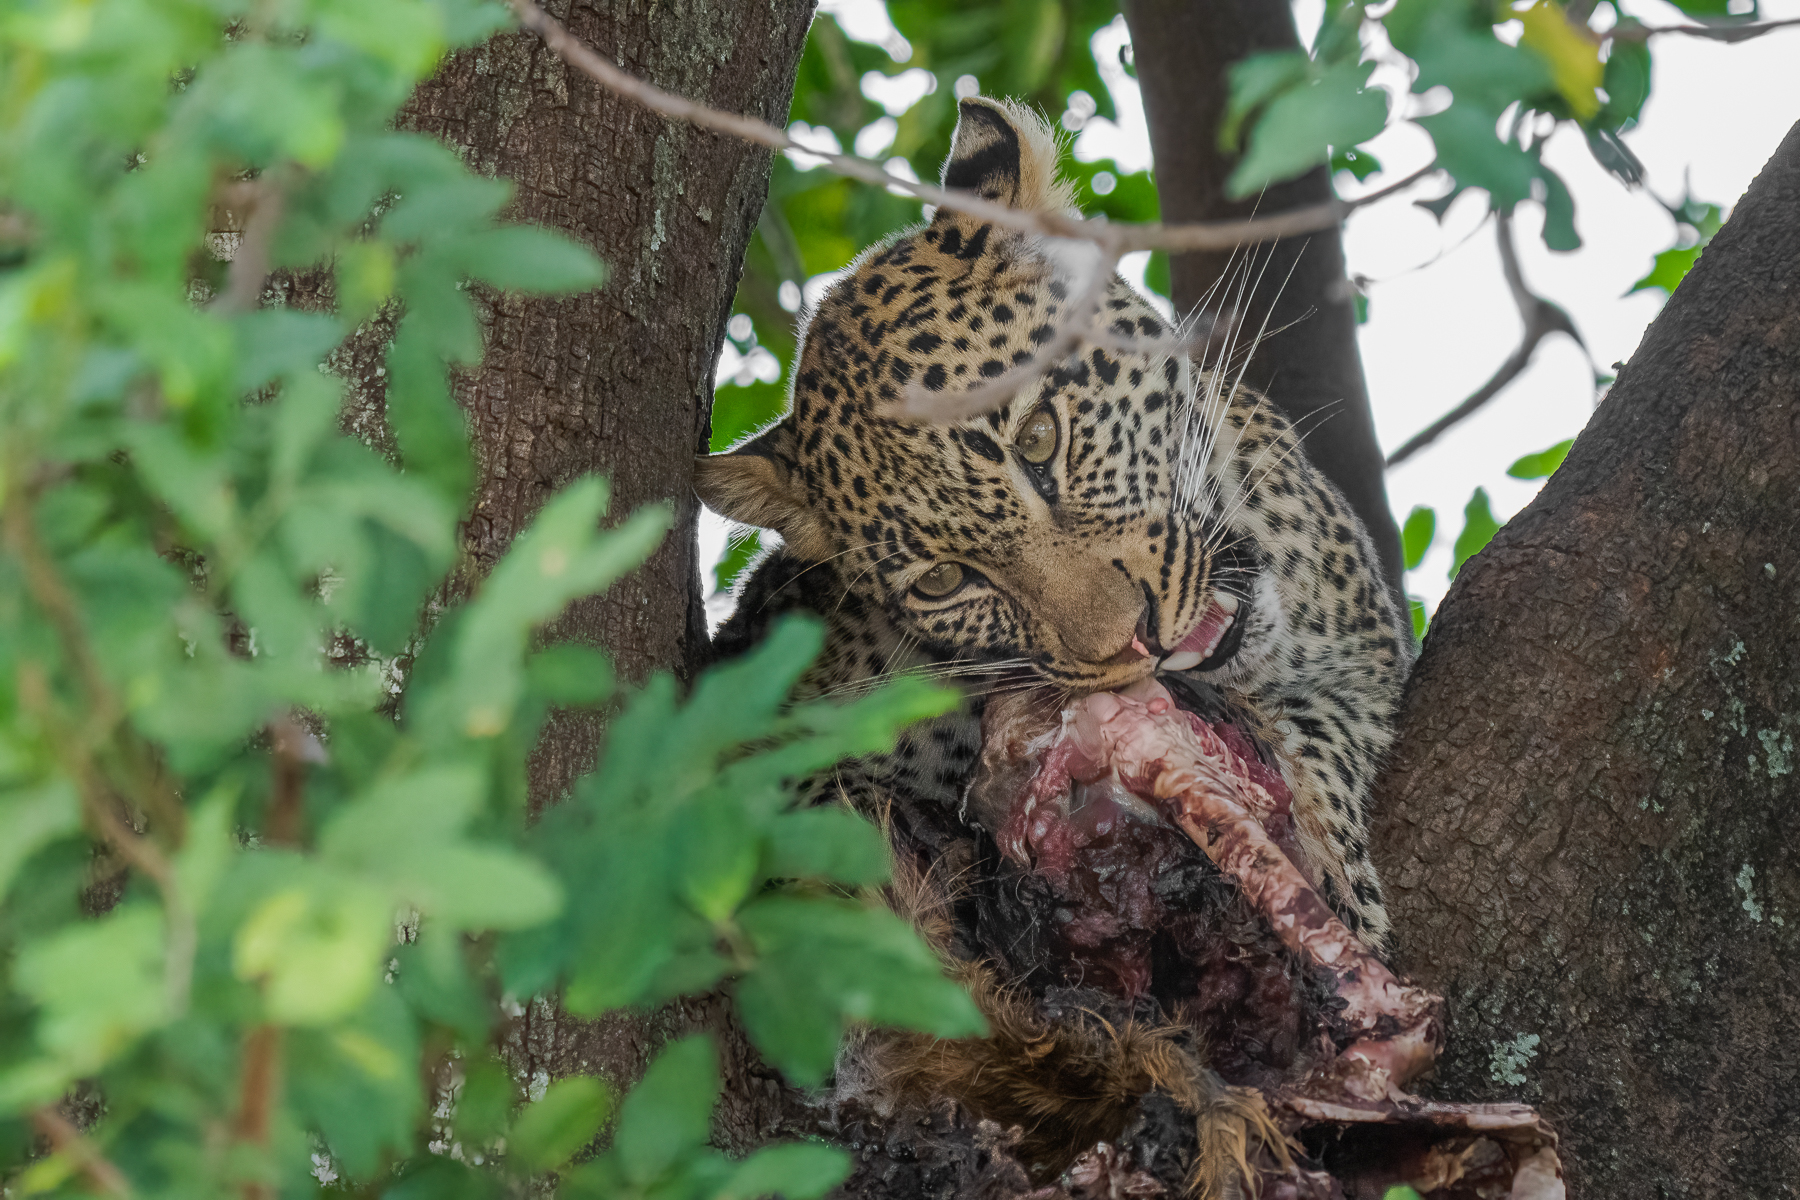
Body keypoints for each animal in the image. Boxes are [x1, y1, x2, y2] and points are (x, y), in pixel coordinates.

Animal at [698, 96, 1414, 1187]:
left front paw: (1339, 890)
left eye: (1038, 441)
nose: (1135, 646)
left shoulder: (1366, 649)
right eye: (945, 581)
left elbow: (1321, 734)